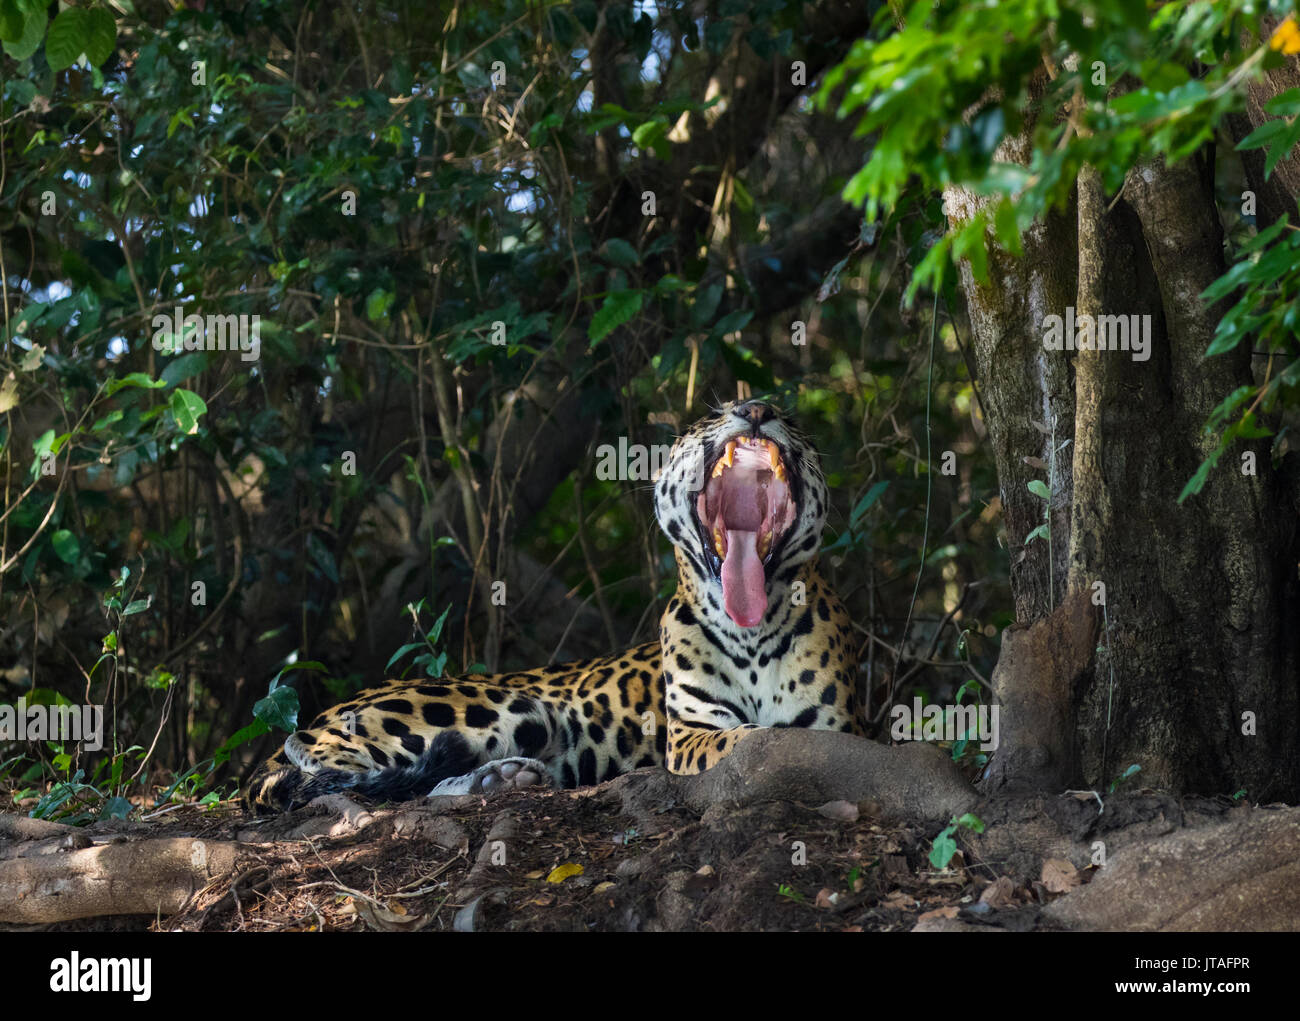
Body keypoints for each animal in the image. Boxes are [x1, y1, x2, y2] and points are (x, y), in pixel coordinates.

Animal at [245, 398, 863, 813]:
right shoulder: (690, 730)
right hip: (496, 709)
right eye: (710, 419)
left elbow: (792, 736)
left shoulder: (838, 723)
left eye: (793, 423)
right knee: (329, 763)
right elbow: (749, 739)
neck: (751, 631)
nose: (756, 409)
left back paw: (500, 781)